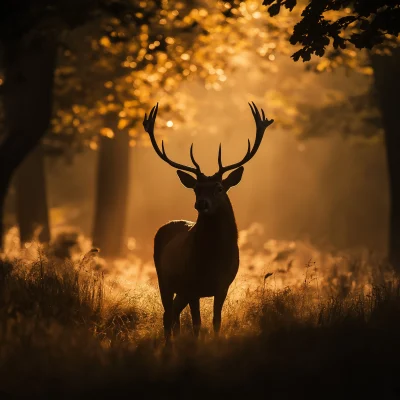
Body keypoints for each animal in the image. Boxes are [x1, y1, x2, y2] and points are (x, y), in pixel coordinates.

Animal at [142, 101, 274, 342]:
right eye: (196, 188)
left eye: (219, 188)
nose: (201, 203)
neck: (212, 260)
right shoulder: (192, 286)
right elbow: (196, 324)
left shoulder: (223, 285)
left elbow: (216, 322)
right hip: (164, 278)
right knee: (167, 315)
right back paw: (168, 346)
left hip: (180, 288)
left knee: (173, 315)